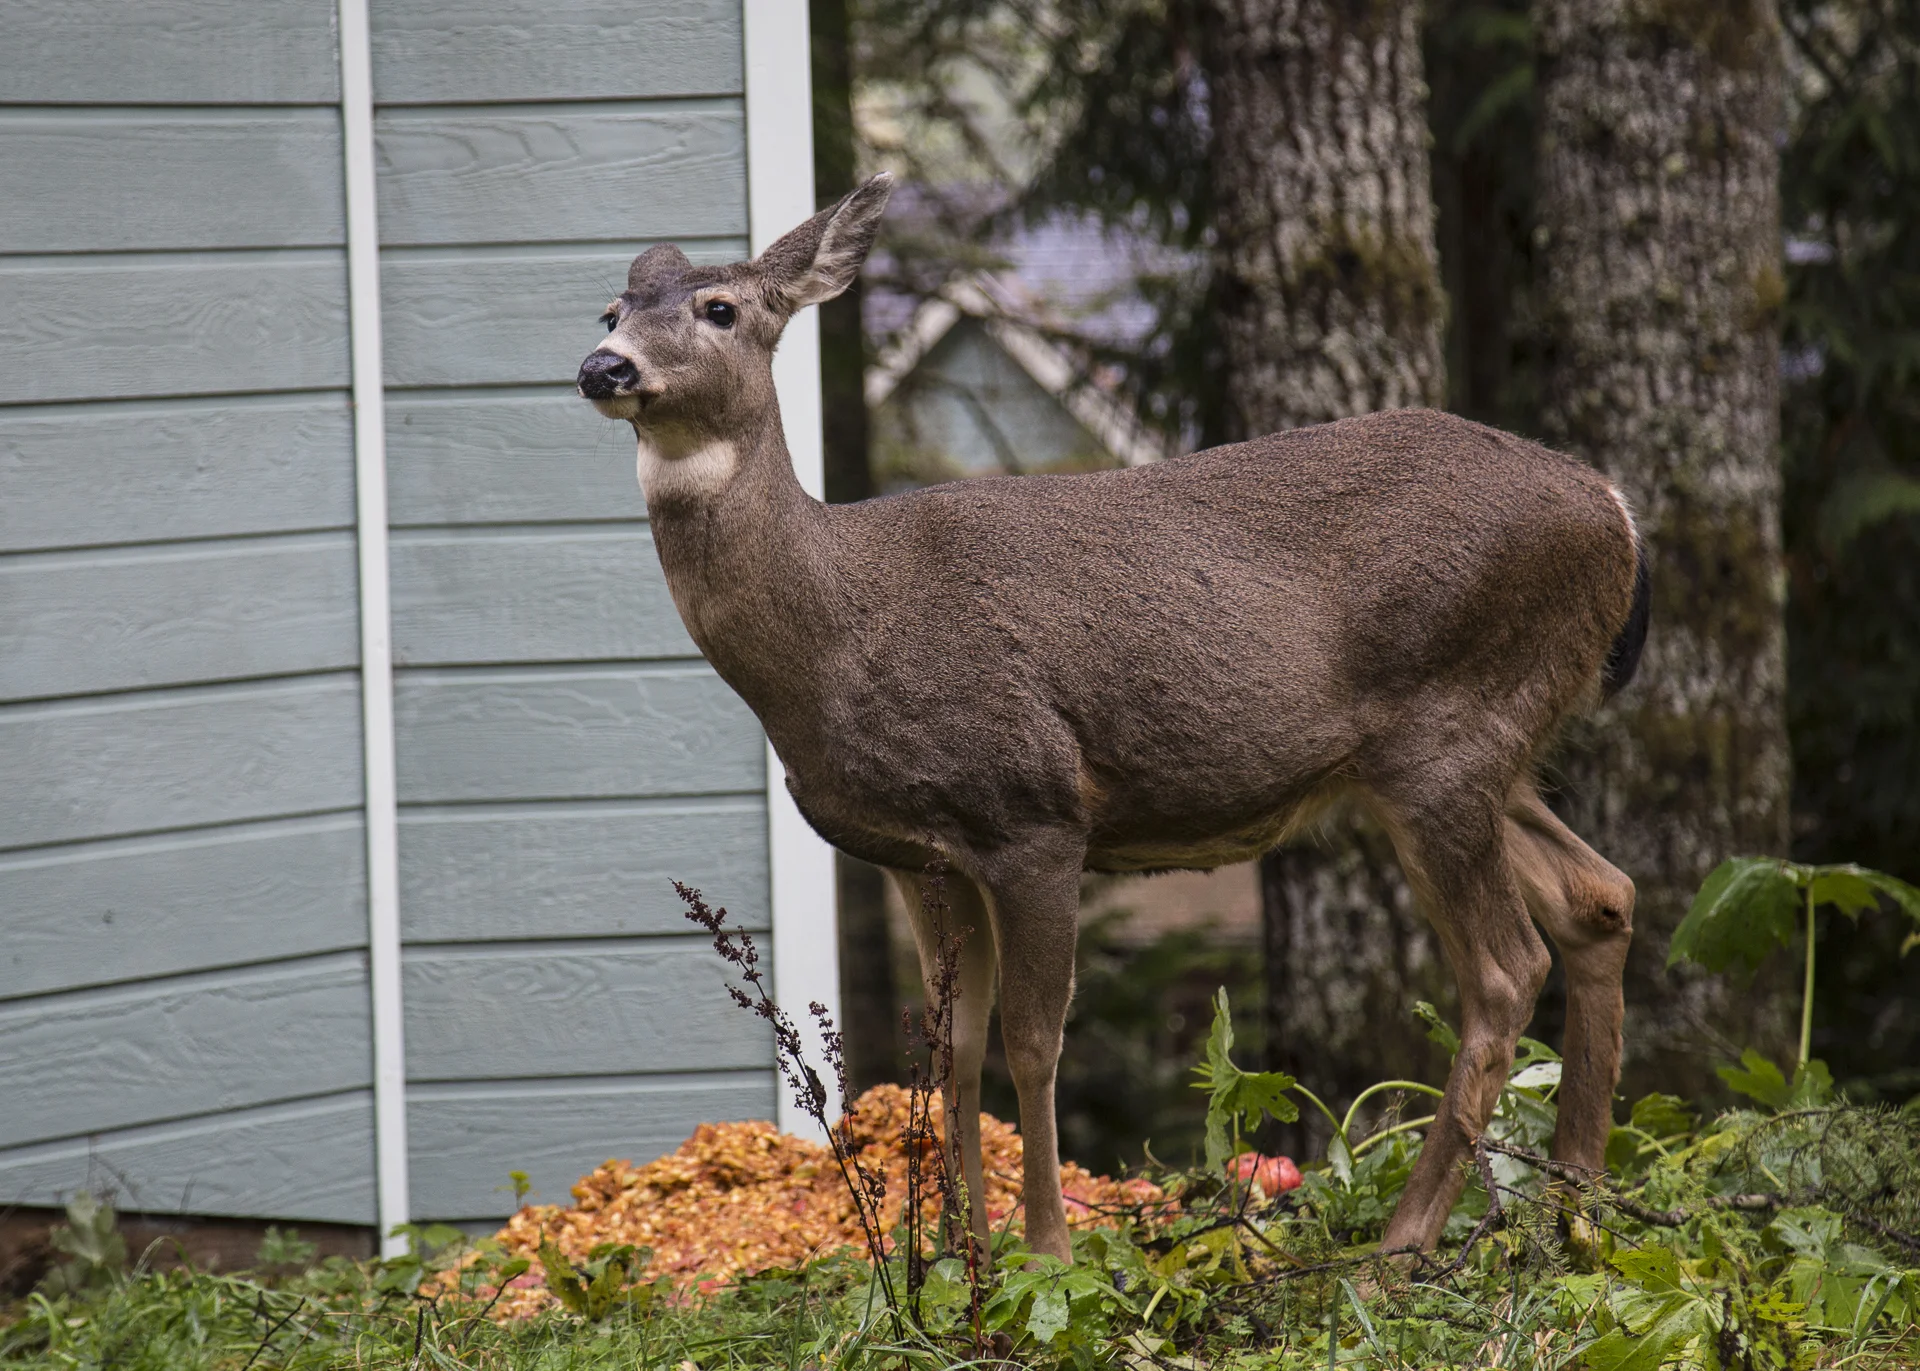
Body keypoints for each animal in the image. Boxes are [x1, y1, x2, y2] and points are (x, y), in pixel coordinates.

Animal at [575, 172, 1649, 1264]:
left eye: (721, 309)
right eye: (610, 310)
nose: (603, 368)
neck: (838, 632)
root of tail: (1615, 507)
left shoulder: (1033, 813)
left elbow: (1032, 1041)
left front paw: (1047, 1249)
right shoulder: (920, 854)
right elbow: (952, 1046)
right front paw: (957, 1250)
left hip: (1447, 731)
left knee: (1508, 967)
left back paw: (1405, 1241)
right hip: (1483, 746)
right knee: (1599, 895)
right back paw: (1579, 1208)